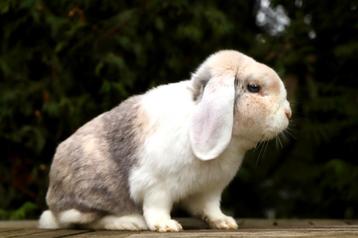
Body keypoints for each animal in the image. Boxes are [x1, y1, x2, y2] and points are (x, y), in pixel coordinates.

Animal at [39, 49, 290, 231]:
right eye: (254, 87)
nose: (288, 113)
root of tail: (52, 199)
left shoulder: (210, 190)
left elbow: (211, 208)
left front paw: (224, 222)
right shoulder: (155, 186)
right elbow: (156, 207)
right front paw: (166, 226)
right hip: (92, 195)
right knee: (89, 220)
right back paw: (130, 222)